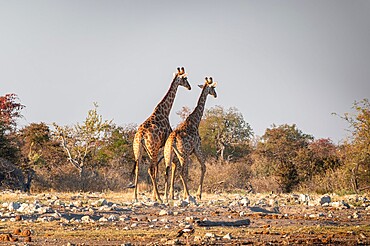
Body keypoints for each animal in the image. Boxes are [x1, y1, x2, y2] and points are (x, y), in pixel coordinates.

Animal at [132, 67, 191, 202]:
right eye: (185, 78)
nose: (189, 87)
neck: (165, 111)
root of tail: (141, 137)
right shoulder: (164, 144)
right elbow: (168, 166)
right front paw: (165, 195)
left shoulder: (159, 147)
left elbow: (159, 168)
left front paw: (156, 195)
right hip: (151, 149)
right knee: (150, 169)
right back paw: (159, 198)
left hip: (138, 150)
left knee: (139, 168)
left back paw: (136, 196)